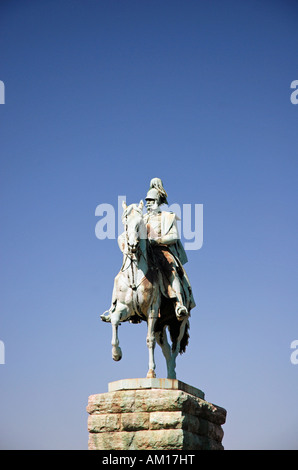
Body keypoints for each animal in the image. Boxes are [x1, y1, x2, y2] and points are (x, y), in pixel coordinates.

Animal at [101, 200, 190, 380]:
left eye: (140, 223)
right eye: (125, 222)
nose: (132, 245)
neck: (135, 274)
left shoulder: (152, 310)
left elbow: (149, 341)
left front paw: (151, 372)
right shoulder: (125, 308)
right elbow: (114, 321)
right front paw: (116, 354)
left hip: (179, 323)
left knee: (174, 348)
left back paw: (172, 375)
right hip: (160, 326)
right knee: (166, 349)